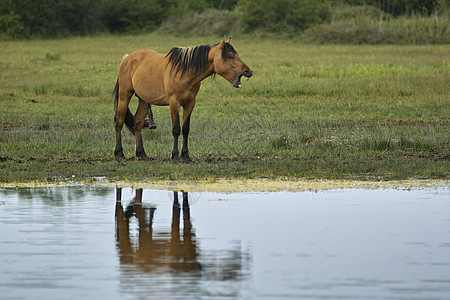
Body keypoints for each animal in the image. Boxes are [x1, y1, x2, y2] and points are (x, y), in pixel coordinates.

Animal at [112, 38, 253, 162]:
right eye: (229, 55)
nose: (248, 71)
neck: (185, 71)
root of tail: (127, 58)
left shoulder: (190, 103)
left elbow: (185, 129)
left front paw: (185, 155)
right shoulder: (174, 103)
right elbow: (176, 129)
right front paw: (174, 155)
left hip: (143, 99)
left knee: (137, 122)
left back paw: (141, 154)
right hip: (125, 95)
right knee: (119, 122)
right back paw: (119, 153)